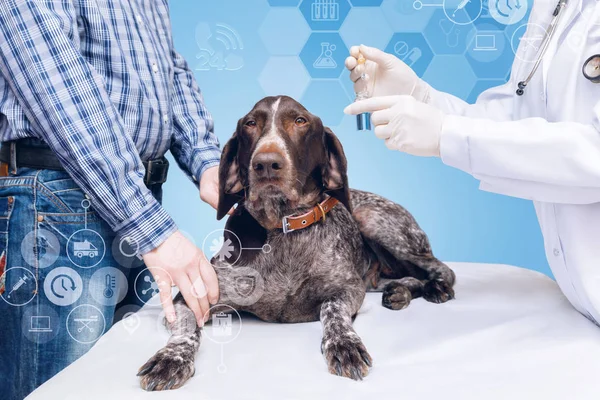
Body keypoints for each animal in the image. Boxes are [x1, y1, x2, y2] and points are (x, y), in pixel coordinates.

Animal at [137, 95, 454, 390]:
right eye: (250, 123)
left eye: (300, 121)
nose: (266, 164)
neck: (284, 228)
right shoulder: (194, 296)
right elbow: (187, 329)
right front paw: (170, 358)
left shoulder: (348, 288)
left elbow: (332, 311)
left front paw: (344, 344)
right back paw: (400, 291)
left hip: (373, 219)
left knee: (442, 269)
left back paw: (434, 288)